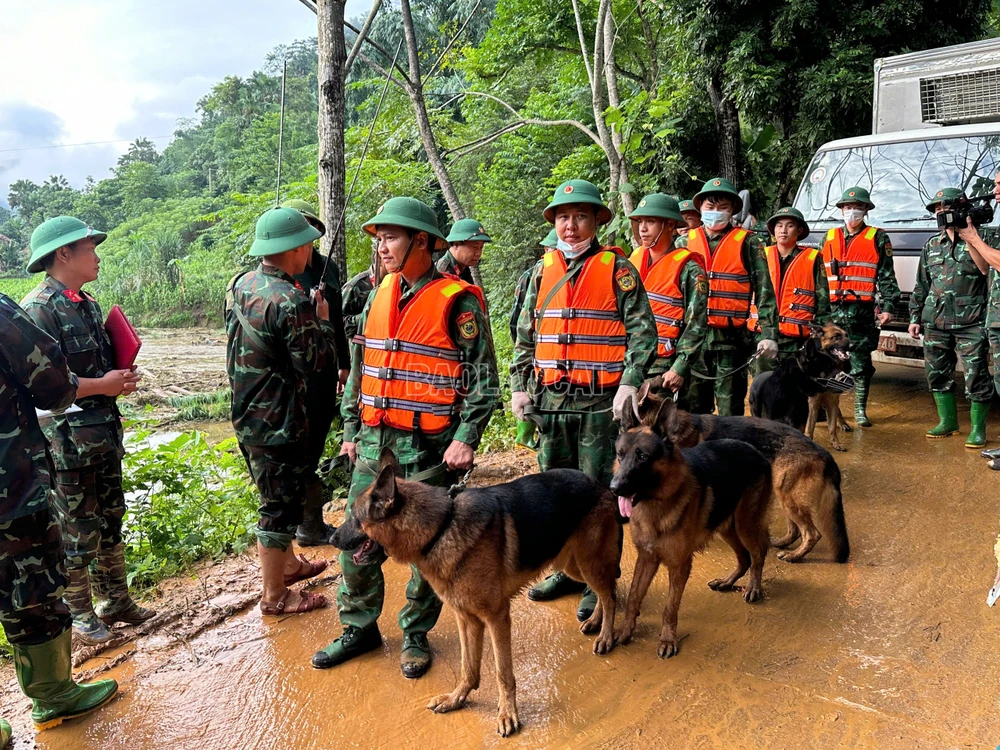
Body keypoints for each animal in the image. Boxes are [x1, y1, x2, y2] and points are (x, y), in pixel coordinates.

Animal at [332, 452, 620, 740]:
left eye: (354, 517)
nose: (332, 538)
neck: (441, 528)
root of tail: (595, 482)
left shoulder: (497, 618)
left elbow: (503, 673)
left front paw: (507, 714)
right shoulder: (467, 618)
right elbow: (468, 668)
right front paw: (456, 699)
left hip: (587, 563)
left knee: (610, 595)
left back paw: (606, 635)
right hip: (572, 565)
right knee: (606, 589)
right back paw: (595, 620)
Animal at [608, 402, 772, 660]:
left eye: (642, 456)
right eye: (620, 455)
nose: (613, 488)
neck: (656, 507)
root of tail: (754, 450)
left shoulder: (679, 565)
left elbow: (670, 607)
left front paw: (667, 639)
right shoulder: (646, 558)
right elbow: (634, 596)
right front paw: (625, 630)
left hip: (745, 525)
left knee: (758, 553)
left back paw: (754, 587)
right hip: (727, 527)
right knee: (744, 557)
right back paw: (727, 581)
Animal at [636, 382, 848, 564]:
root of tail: (824, 453)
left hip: (788, 495)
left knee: (812, 534)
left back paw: (794, 555)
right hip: (784, 494)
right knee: (796, 530)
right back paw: (784, 543)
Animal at [752, 324, 852, 452]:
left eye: (846, 335)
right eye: (836, 337)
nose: (853, 345)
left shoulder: (831, 400)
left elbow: (832, 426)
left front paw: (836, 443)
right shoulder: (812, 403)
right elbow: (810, 427)